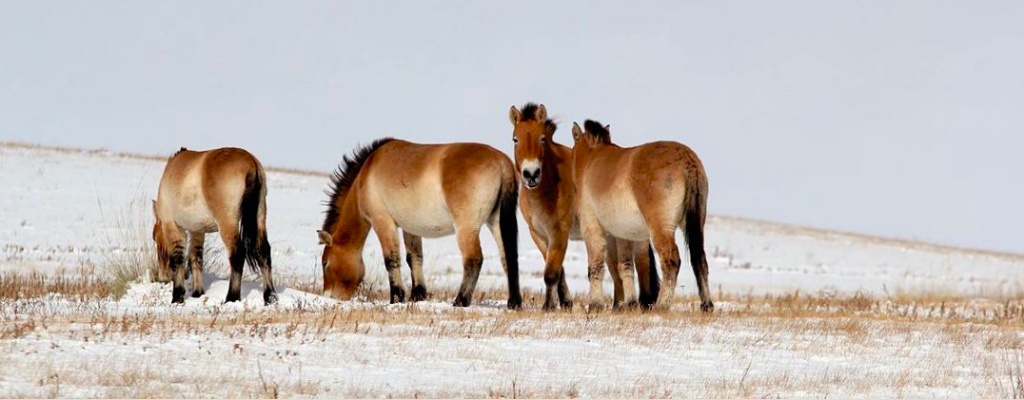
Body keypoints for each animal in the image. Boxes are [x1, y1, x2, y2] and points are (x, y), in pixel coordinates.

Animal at [152, 148, 278, 304]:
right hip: (260, 217)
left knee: (237, 254)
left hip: (227, 224)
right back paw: (270, 296)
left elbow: (178, 259)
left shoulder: (173, 227)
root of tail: (251, 163)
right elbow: (196, 258)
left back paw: (232, 297)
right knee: (263, 252)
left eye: (154, 236)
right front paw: (197, 293)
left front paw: (177, 296)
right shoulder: (197, 230)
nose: (162, 277)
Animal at [315, 139, 524, 310]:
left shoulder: (383, 222)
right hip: (496, 223)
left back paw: (460, 301)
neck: (367, 173)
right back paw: (514, 302)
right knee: (508, 259)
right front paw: (417, 295)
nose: (329, 296)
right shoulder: (410, 228)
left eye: (325, 263)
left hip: (466, 227)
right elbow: (414, 258)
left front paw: (396, 298)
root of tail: (502, 162)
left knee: (473, 260)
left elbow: (391, 259)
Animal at [507, 103, 659, 310]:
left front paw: (549, 306)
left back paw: (642, 303)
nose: (531, 174)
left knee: (642, 265)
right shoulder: (538, 234)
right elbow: (557, 269)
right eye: (515, 139)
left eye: (542, 138)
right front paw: (565, 303)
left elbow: (551, 273)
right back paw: (618, 306)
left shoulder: (560, 231)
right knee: (615, 270)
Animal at [569, 120, 712, 310]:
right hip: (696, 224)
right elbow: (626, 266)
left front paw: (595, 304)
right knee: (700, 260)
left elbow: (596, 266)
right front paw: (629, 303)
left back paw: (661, 305)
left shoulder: (592, 230)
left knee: (671, 260)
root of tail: (687, 160)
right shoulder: (624, 235)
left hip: (661, 228)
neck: (592, 162)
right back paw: (707, 305)